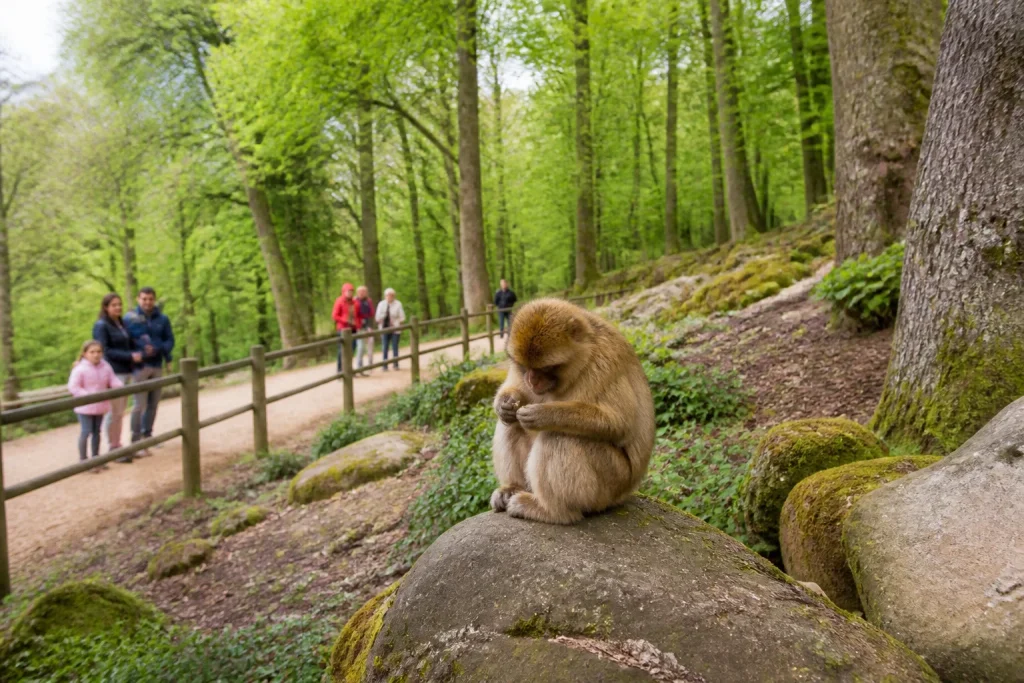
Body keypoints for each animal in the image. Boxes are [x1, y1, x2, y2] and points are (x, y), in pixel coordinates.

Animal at [490, 298, 656, 525]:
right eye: (525, 366)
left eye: (546, 368)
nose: (532, 380)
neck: (584, 356)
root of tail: (626, 491)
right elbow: (514, 391)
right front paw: (505, 404)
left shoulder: (604, 363)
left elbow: (620, 424)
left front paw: (544, 415)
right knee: (511, 425)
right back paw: (512, 488)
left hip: (610, 483)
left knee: (559, 437)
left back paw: (552, 511)